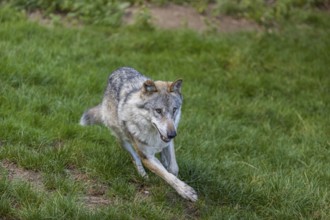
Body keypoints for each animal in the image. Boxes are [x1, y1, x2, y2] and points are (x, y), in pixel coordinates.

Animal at [79, 67, 197, 203]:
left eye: (174, 110)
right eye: (158, 110)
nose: (172, 134)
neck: (153, 136)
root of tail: (117, 70)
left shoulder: (168, 141)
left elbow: (173, 169)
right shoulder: (147, 157)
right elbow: (166, 175)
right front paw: (186, 192)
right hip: (123, 140)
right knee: (135, 158)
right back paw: (143, 175)